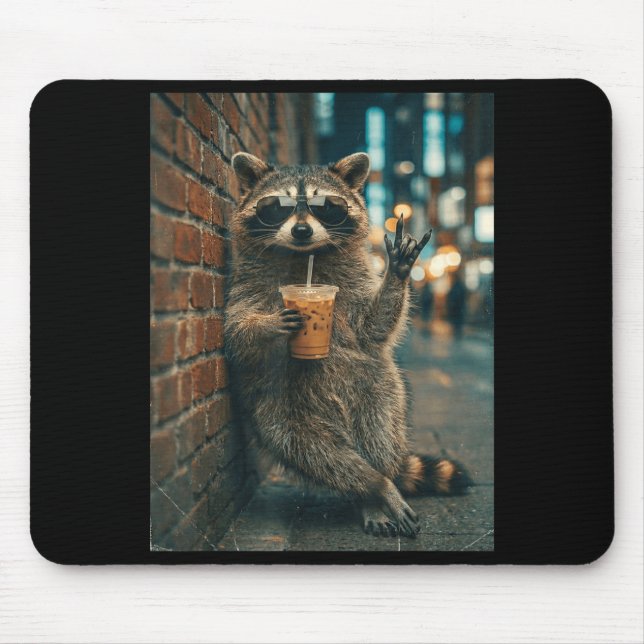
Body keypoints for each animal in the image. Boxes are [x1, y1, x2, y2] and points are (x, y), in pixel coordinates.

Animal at [225, 152, 471, 537]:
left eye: (326, 206)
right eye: (277, 207)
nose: (301, 231)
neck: (305, 258)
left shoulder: (355, 288)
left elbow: (372, 329)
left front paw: (397, 273)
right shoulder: (244, 287)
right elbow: (238, 332)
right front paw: (269, 324)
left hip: (380, 390)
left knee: (379, 434)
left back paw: (381, 484)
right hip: (281, 414)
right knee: (318, 454)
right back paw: (371, 487)